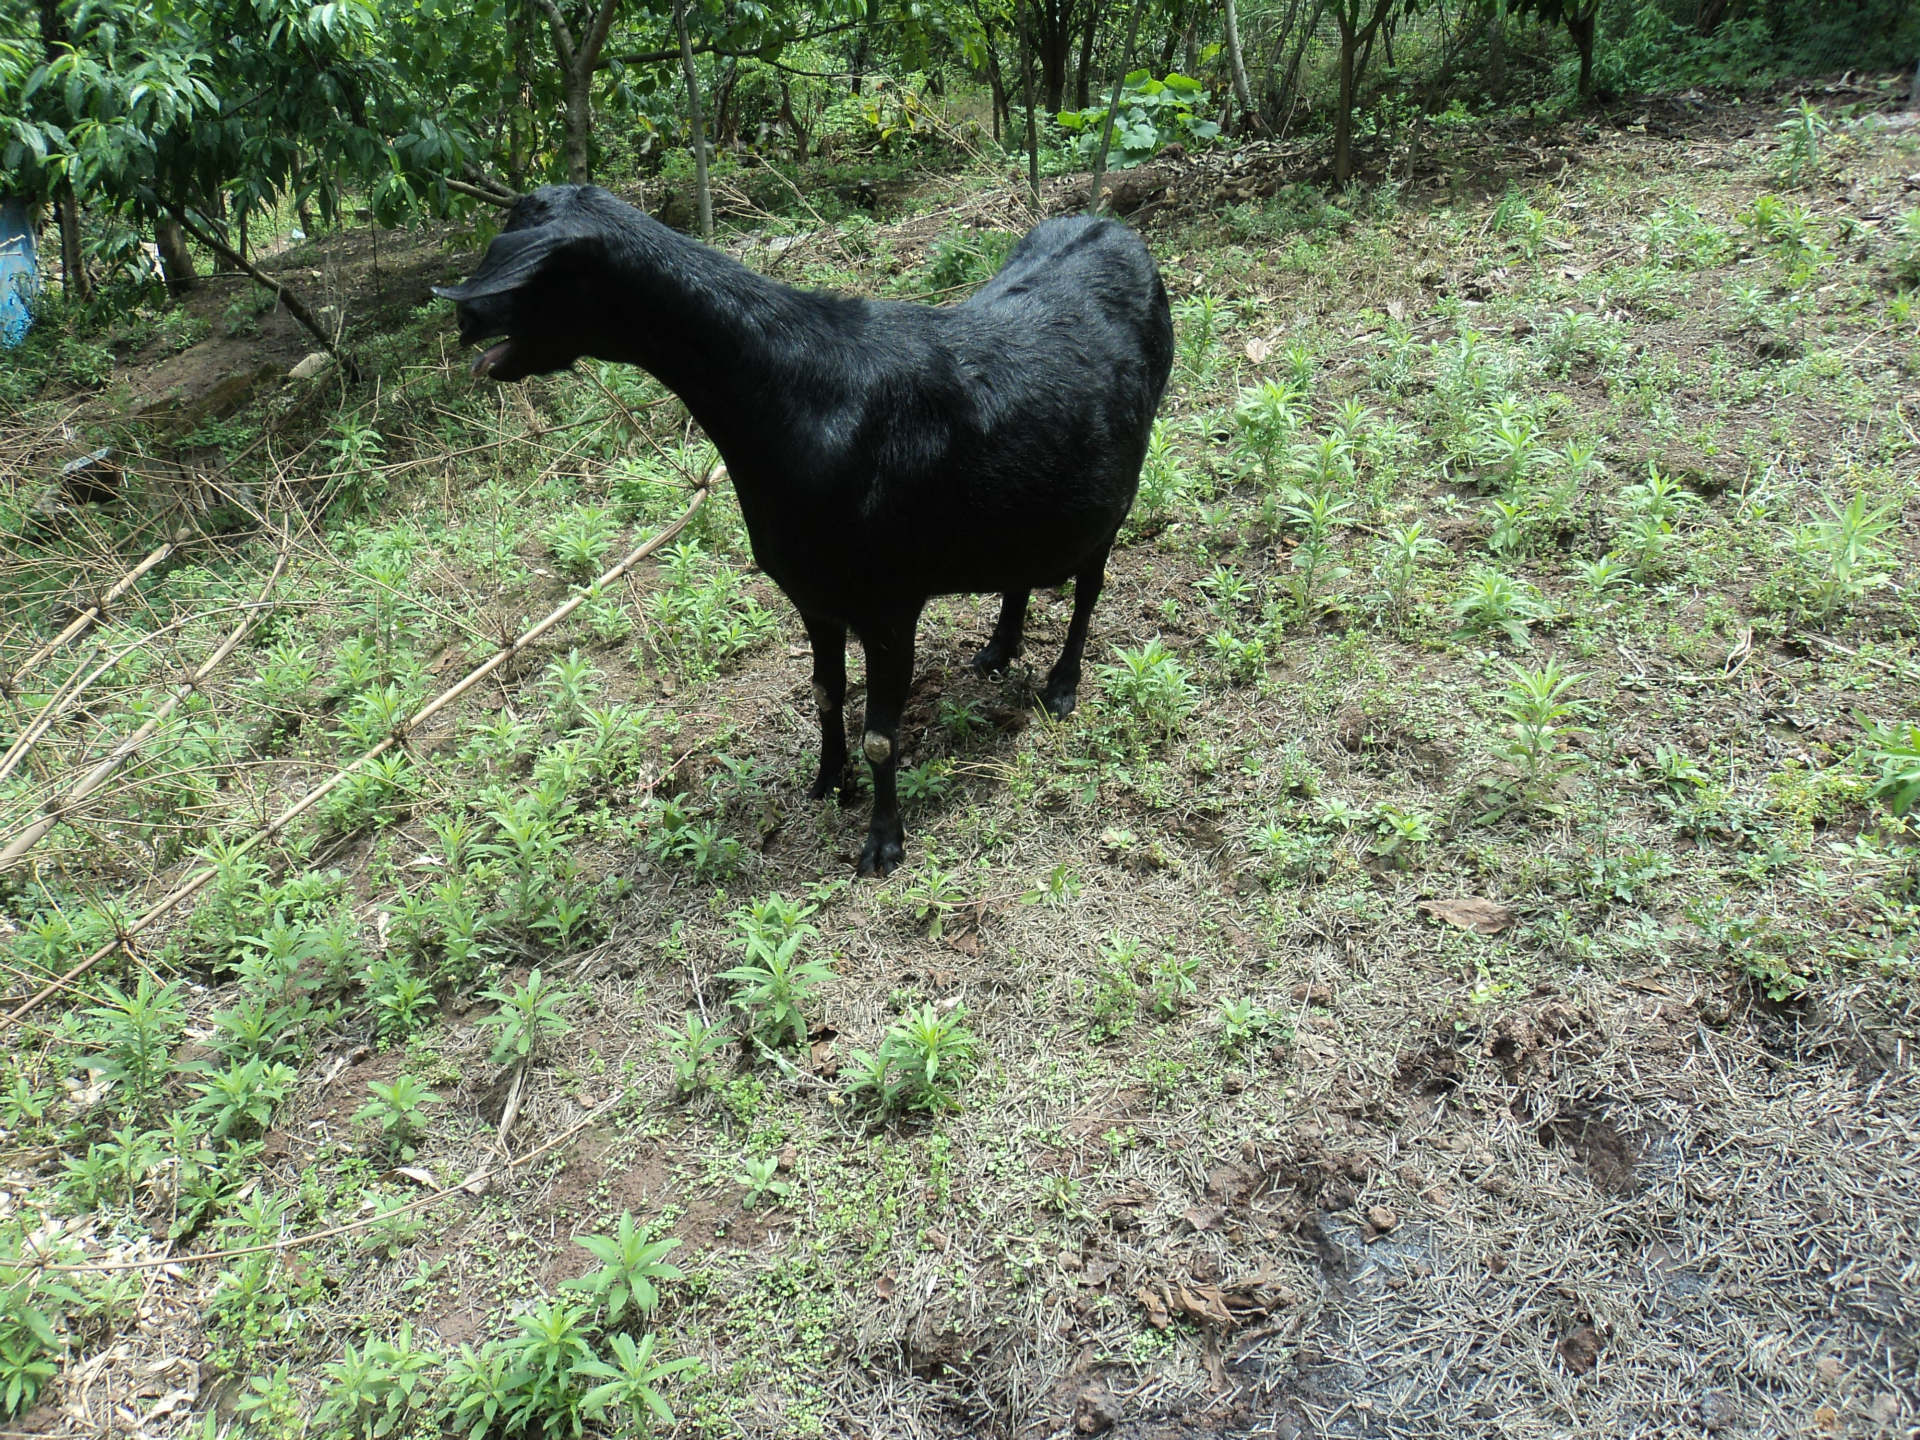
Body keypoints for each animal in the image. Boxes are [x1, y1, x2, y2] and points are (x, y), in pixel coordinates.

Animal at [437, 184, 1175, 875]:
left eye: (540, 269)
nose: (464, 319)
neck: (804, 401)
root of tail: (1116, 228)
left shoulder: (888, 602)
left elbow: (881, 734)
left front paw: (882, 843)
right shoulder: (813, 595)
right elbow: (823, 695)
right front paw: (825, 782)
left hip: (1121, 482)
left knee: (1090, 584)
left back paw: (1061, 685)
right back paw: (997, 649)